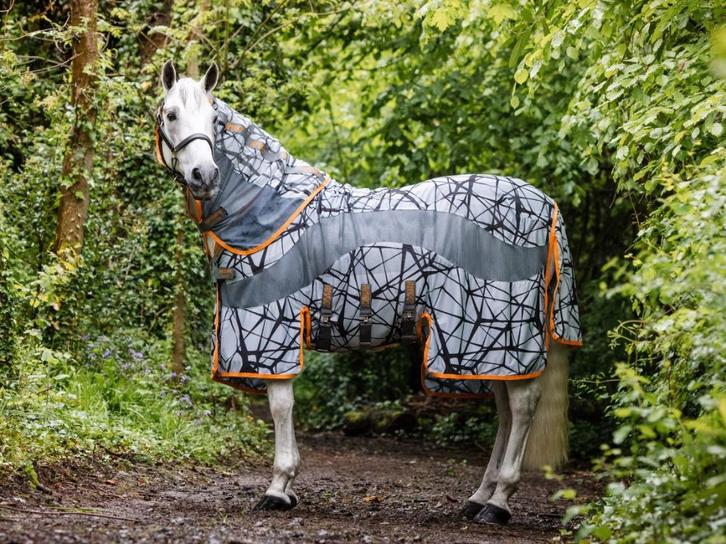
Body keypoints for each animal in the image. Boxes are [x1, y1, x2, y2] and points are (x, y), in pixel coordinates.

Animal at [153, 60, 582, 525]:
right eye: (171, 114)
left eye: (213, 120)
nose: (205, 175)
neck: (269, 210)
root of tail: (545, 203)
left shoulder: (274, 331)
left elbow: (281, 407)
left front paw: (278, 488)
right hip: (489, 348)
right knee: (505, 410)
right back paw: (479, 497)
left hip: (497, 333)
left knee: (521, 408)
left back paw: (498, 502)